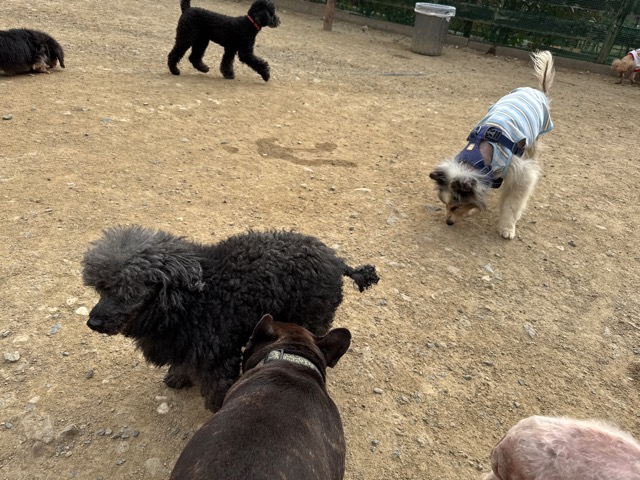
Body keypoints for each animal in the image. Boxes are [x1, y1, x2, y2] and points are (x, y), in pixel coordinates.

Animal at [82, 225, 378, 411]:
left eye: (126, 291)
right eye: (100, 287)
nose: (92, 322)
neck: (190, 300)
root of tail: (337, 262)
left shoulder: (218, 354)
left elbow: (217, 388)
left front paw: (218, 407)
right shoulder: (188, 345)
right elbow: (183, 366)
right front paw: (178, 379)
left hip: (310, 317)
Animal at [429, 50, 555, 239]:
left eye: (456, 206)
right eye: (444, 203)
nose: (448, 222)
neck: (480, 155)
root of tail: (537, 90)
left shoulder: (520, 174)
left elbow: (512, 204)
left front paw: (507, 228)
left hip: (535, 139)